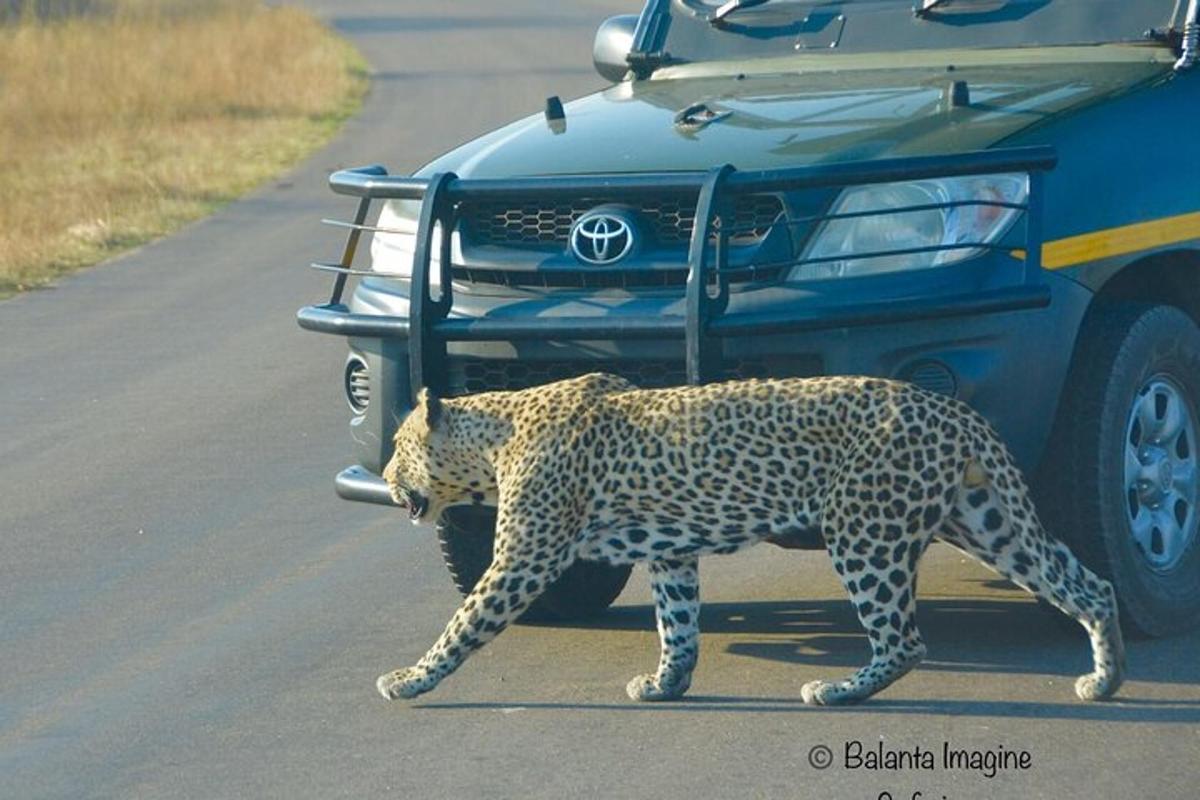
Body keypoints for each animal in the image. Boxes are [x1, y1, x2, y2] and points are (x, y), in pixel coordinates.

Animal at [376, 371, 1123, 705]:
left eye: (399, 446)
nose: (383, 477)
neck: (496, 435)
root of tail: (957, 412)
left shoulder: (522, 559)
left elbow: (463, 622)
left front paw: (410, 679)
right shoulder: (670, 554)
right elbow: (677, 625)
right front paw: (666, 683)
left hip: (864, 529)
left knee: (904, 640)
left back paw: (839, 690)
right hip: (986, 521)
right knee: (1091, 585)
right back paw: (1103, 680)